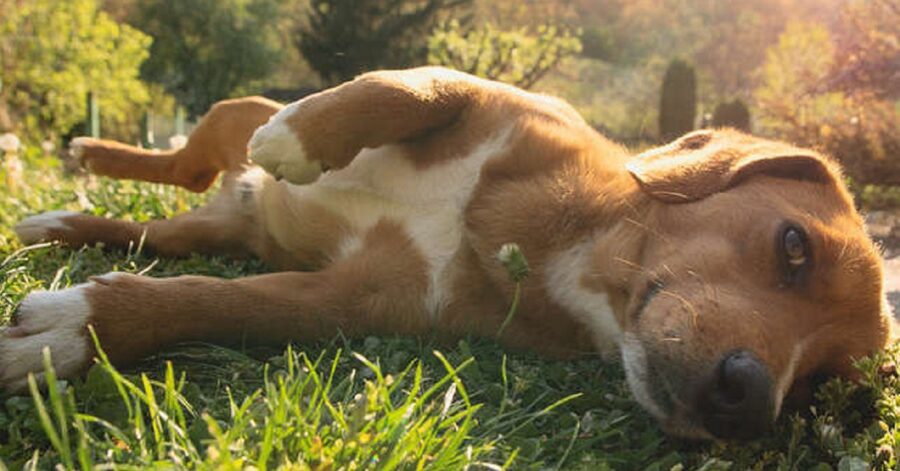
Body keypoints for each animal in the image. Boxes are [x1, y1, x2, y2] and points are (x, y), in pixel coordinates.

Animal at [5, 68, 892, 440]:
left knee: (162, 234)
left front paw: (76, 326)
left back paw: (62, 224)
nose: (749, 400)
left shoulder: (339, 302)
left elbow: (204, 301)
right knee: (188, 161)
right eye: (794, 246)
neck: (555, 247)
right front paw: (303, 138)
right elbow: (411, 87)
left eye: (816, 387)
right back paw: (89, 158)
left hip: (223, 232)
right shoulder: (497, 100)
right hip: (229, 117)